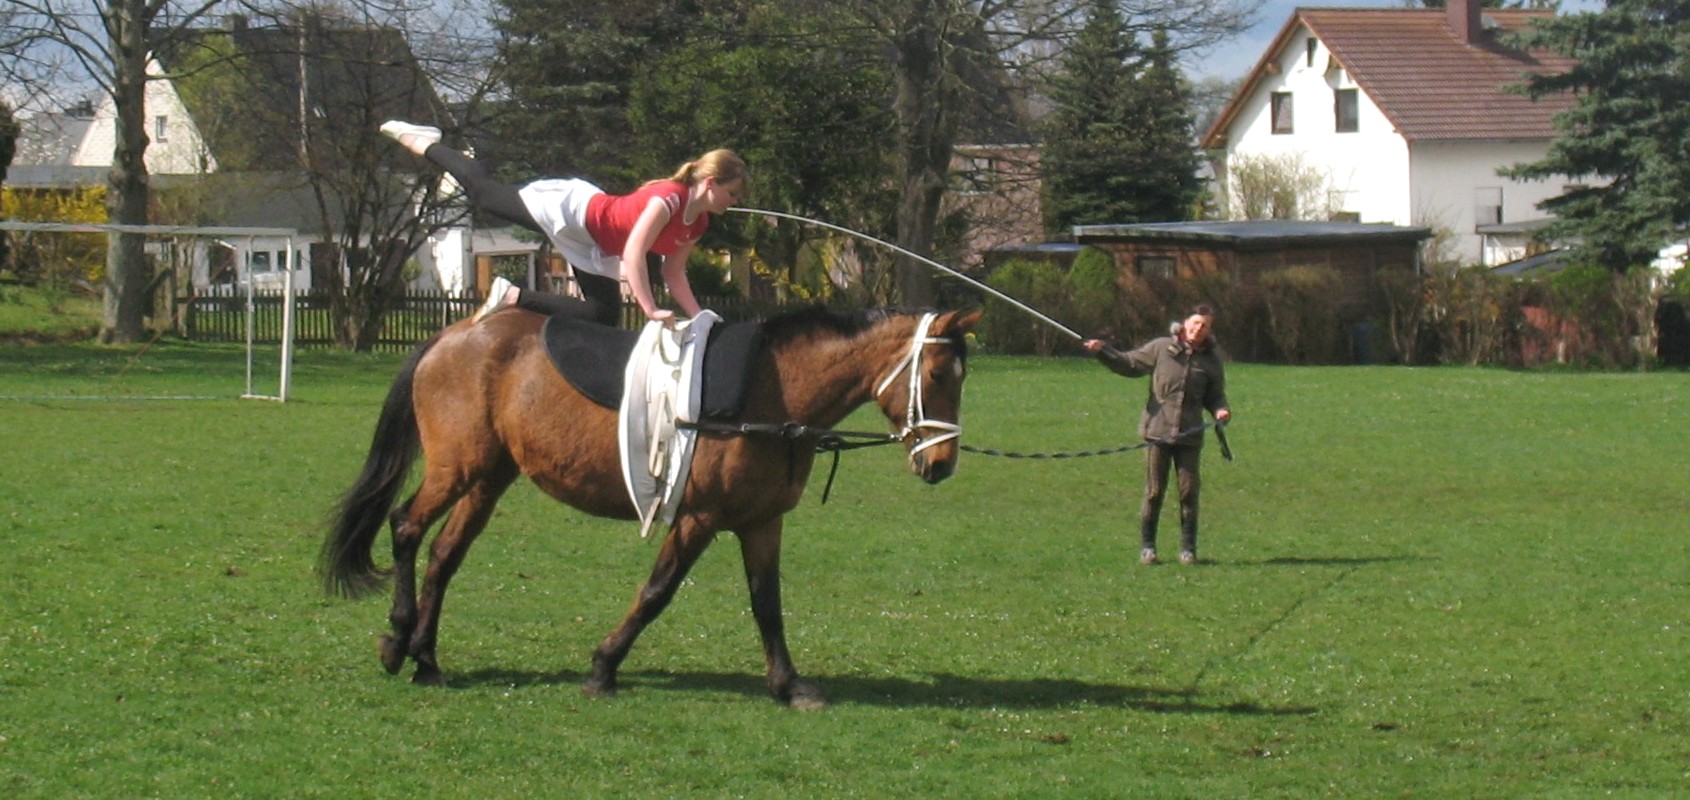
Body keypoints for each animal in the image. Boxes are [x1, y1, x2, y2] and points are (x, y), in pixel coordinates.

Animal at [318, 305, 982, 708]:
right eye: (937, 374)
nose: (942, 464)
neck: (774, 395)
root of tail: (454, 333)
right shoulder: (699, 519)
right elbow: (657, 593)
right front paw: (603, 667)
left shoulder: (761, 522)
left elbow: (767, 605)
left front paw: (790, 685)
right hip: (458, 469)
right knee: (406, 527)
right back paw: (398, 638)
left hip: (488, 478)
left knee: (444, 555)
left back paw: (427, 658)